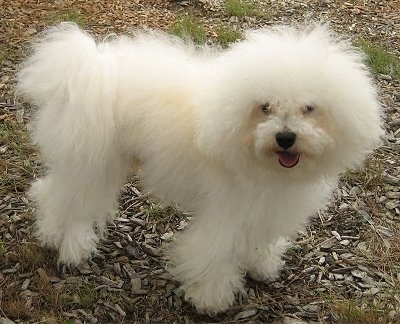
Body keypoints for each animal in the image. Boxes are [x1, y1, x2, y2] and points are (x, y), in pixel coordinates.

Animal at [16, 22, 384, 314]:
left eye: (309, 108)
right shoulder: (226, 212)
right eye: (264, 107)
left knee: (53, 192)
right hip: (95, 162)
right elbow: (215, 253)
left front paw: (261, 266)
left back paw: (51, 234)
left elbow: (257, 242)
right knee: (72, 203)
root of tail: (91, 67)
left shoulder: (262, 208)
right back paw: (73, 249)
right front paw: (210, 299)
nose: (285, 137)